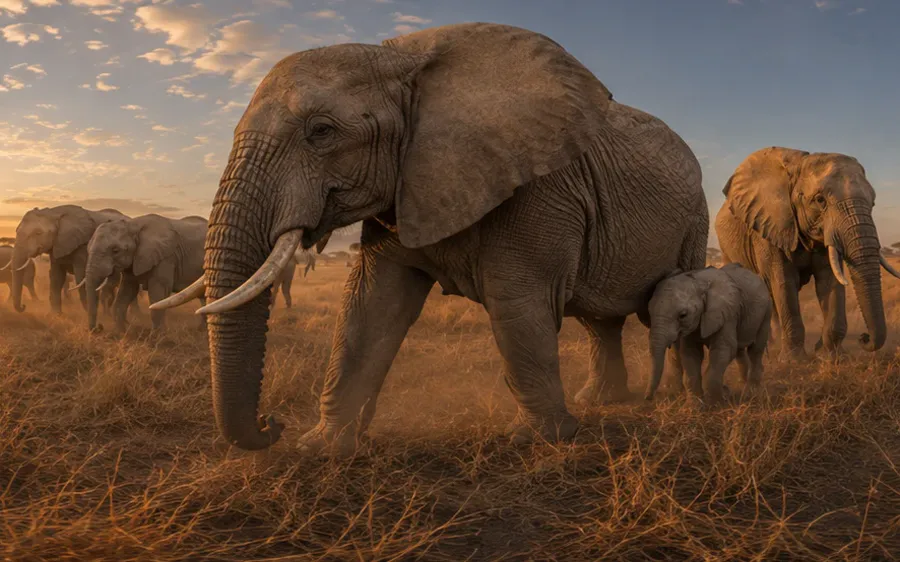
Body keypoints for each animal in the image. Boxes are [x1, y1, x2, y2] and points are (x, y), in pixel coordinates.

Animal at [152, 22, 708, 454]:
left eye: (322, 132)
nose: (273, 424)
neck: (404, 60)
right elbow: (370, 306)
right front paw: (324, 447)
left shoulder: (542, 186)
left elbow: (517, 301)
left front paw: (541, 441)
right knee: (599, 320)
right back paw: (603, 402)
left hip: (696, 218)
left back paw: (677, 398)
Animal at [644, 263, 772, 404]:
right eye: (649, 310)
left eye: (683, 315)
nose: (647, 398)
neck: (699, 283)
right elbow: (690, 353)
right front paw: (695, 405)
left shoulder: (727, 314)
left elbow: (723, 350)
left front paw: (716, 403)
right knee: (740, 351)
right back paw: (742, 383)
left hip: (766, 311)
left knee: (755, 350)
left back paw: (751, 394)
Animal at [715, 147, 900, 359]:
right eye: (820, 200)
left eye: (873, 202)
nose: (864, 337)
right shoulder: (769, 226)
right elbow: (783, 281)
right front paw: (794, 360)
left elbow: (829, 280)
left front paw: (833, 356)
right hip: (726, 249)